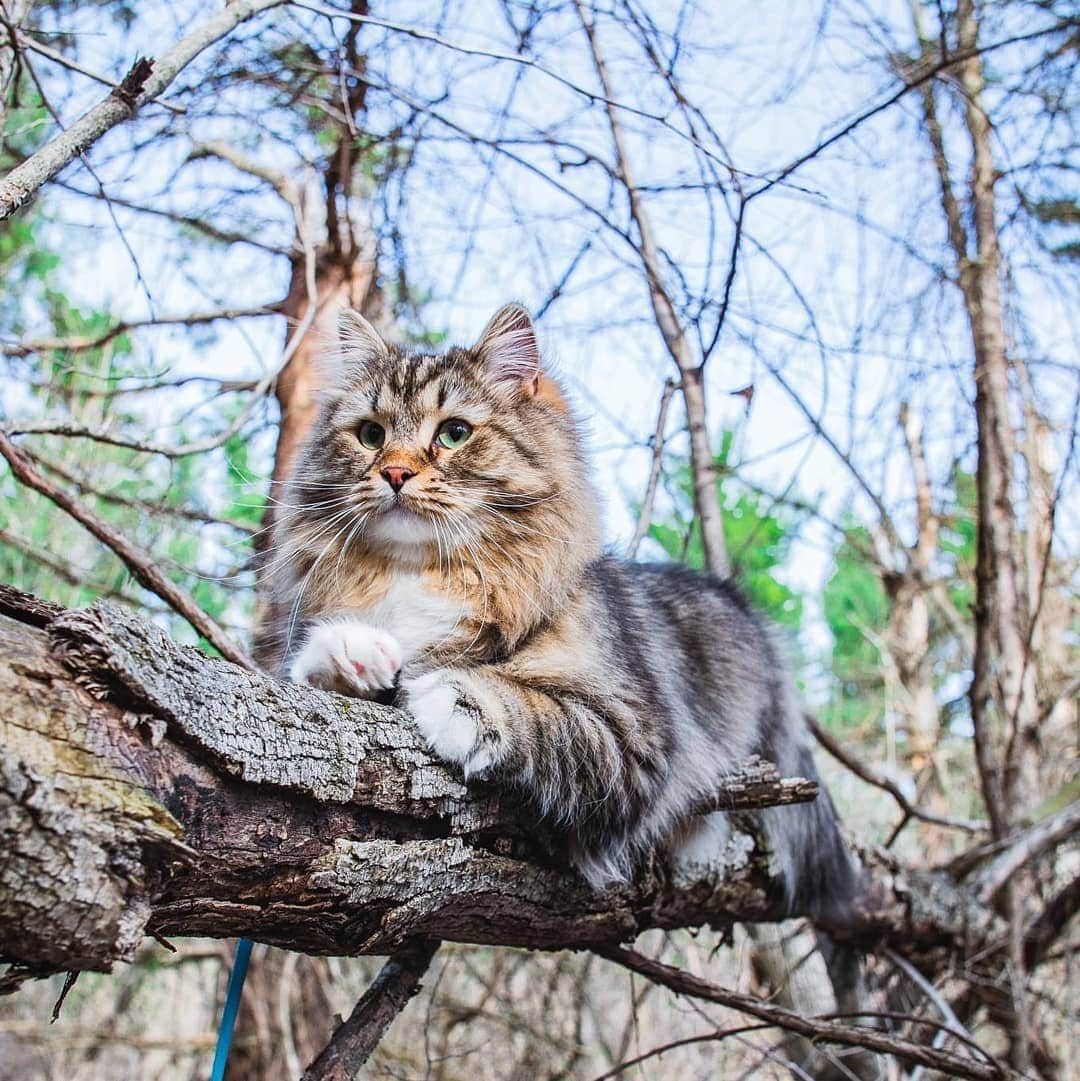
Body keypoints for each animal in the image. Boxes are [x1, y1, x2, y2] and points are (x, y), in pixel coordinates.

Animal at [268, 304, 851, 921]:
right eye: (371, 435)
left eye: (454, 433)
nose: (395, 473)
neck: (423, 574)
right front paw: (351, 656)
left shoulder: (634, 733)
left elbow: (536, 711)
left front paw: (449, 694)